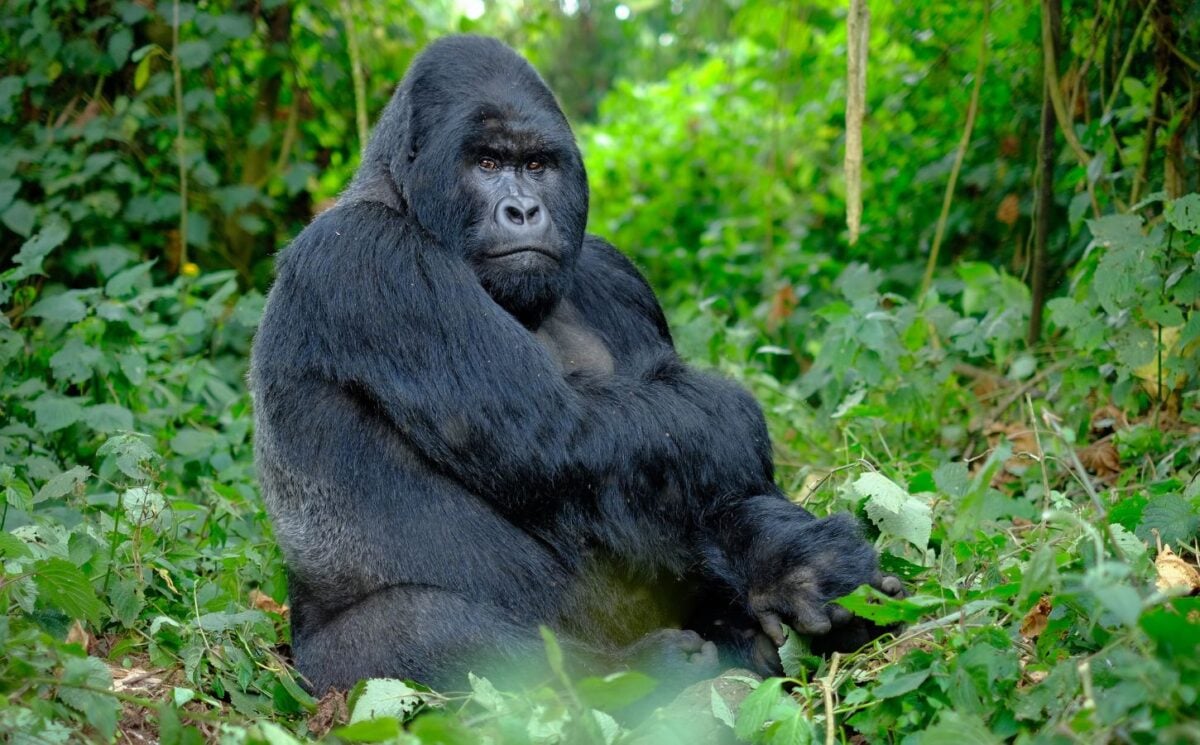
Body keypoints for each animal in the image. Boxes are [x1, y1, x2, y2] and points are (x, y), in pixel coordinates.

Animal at [248, 36, 897, 695]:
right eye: (487, 164)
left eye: (537, 166)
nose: (523, 210)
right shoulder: (368, 256)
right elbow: (566, 435)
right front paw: (743, 427)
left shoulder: (615, 273)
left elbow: (680, 465)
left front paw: (796, 562)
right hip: (321, 673)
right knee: (420, 626)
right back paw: (631, 675)